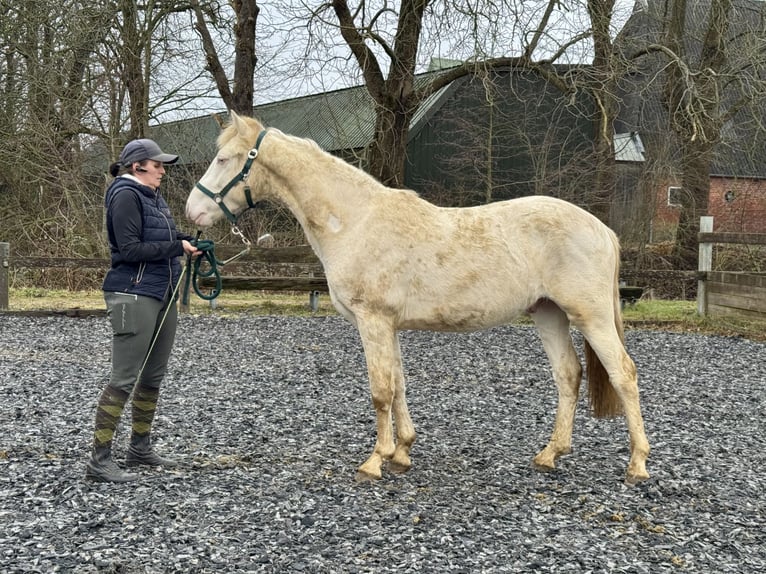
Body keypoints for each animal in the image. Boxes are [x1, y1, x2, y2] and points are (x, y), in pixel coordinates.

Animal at [188, 111, 656, 486]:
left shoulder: (373, 321)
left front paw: (374, 462)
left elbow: (380, 390)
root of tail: (602, 229)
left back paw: (637, 466)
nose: (193, 211)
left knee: (624, 375)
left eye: (224, 159)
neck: (355, 220)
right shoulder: (388, 325)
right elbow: (398, 386)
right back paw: (549, 455)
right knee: (568, 375)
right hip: (549, 314)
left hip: (590, 316)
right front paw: (402, 454)